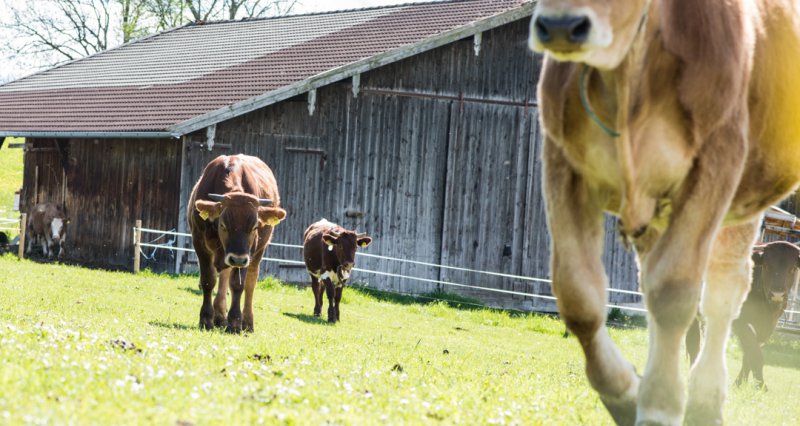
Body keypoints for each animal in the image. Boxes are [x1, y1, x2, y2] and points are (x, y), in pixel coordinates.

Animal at [188, 155, 288, 334]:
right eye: (223, 225)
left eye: (255, 226)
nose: (238, 260)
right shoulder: (199, 243)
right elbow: (208, 280)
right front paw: (206, 319)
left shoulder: (248, 252)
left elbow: (238, 285)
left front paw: (235, 322)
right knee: (224, 276)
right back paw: (220, 316)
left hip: (257, 252)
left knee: (250, 283)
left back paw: (247, 322)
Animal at [532, 0, 800, 424]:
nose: (560, 27)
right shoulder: (563, 165)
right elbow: (578, 296)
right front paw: (625, 393)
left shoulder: (713, 165)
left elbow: (675, 295)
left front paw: (660, 404)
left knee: (722, 296)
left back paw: (705, 398)